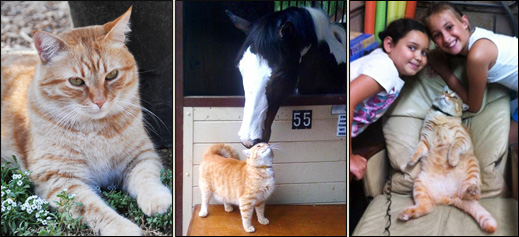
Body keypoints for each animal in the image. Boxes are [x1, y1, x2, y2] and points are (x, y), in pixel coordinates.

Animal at [0, 6, 173, 235]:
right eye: (76, 81)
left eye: (112, 75)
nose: (99, 101)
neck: (96, 130)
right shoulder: (62, 180)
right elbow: (95, 208)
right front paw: (122, 227)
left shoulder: (141, 155)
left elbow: (147, 177)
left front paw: (157, 199)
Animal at [400, 86, 498, 232]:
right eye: (445, 92)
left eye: (454, 97)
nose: (446, 95)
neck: (441, 115)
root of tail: (450, 196)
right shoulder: (425, 140)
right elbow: (418, 150)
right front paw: (411, 160)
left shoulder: (461, 138)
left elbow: (454, 147)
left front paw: (452, 160)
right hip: (419, 183)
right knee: (426, 207)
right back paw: (406, 214)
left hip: (472, 165)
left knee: (472, 194)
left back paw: (472, 189)